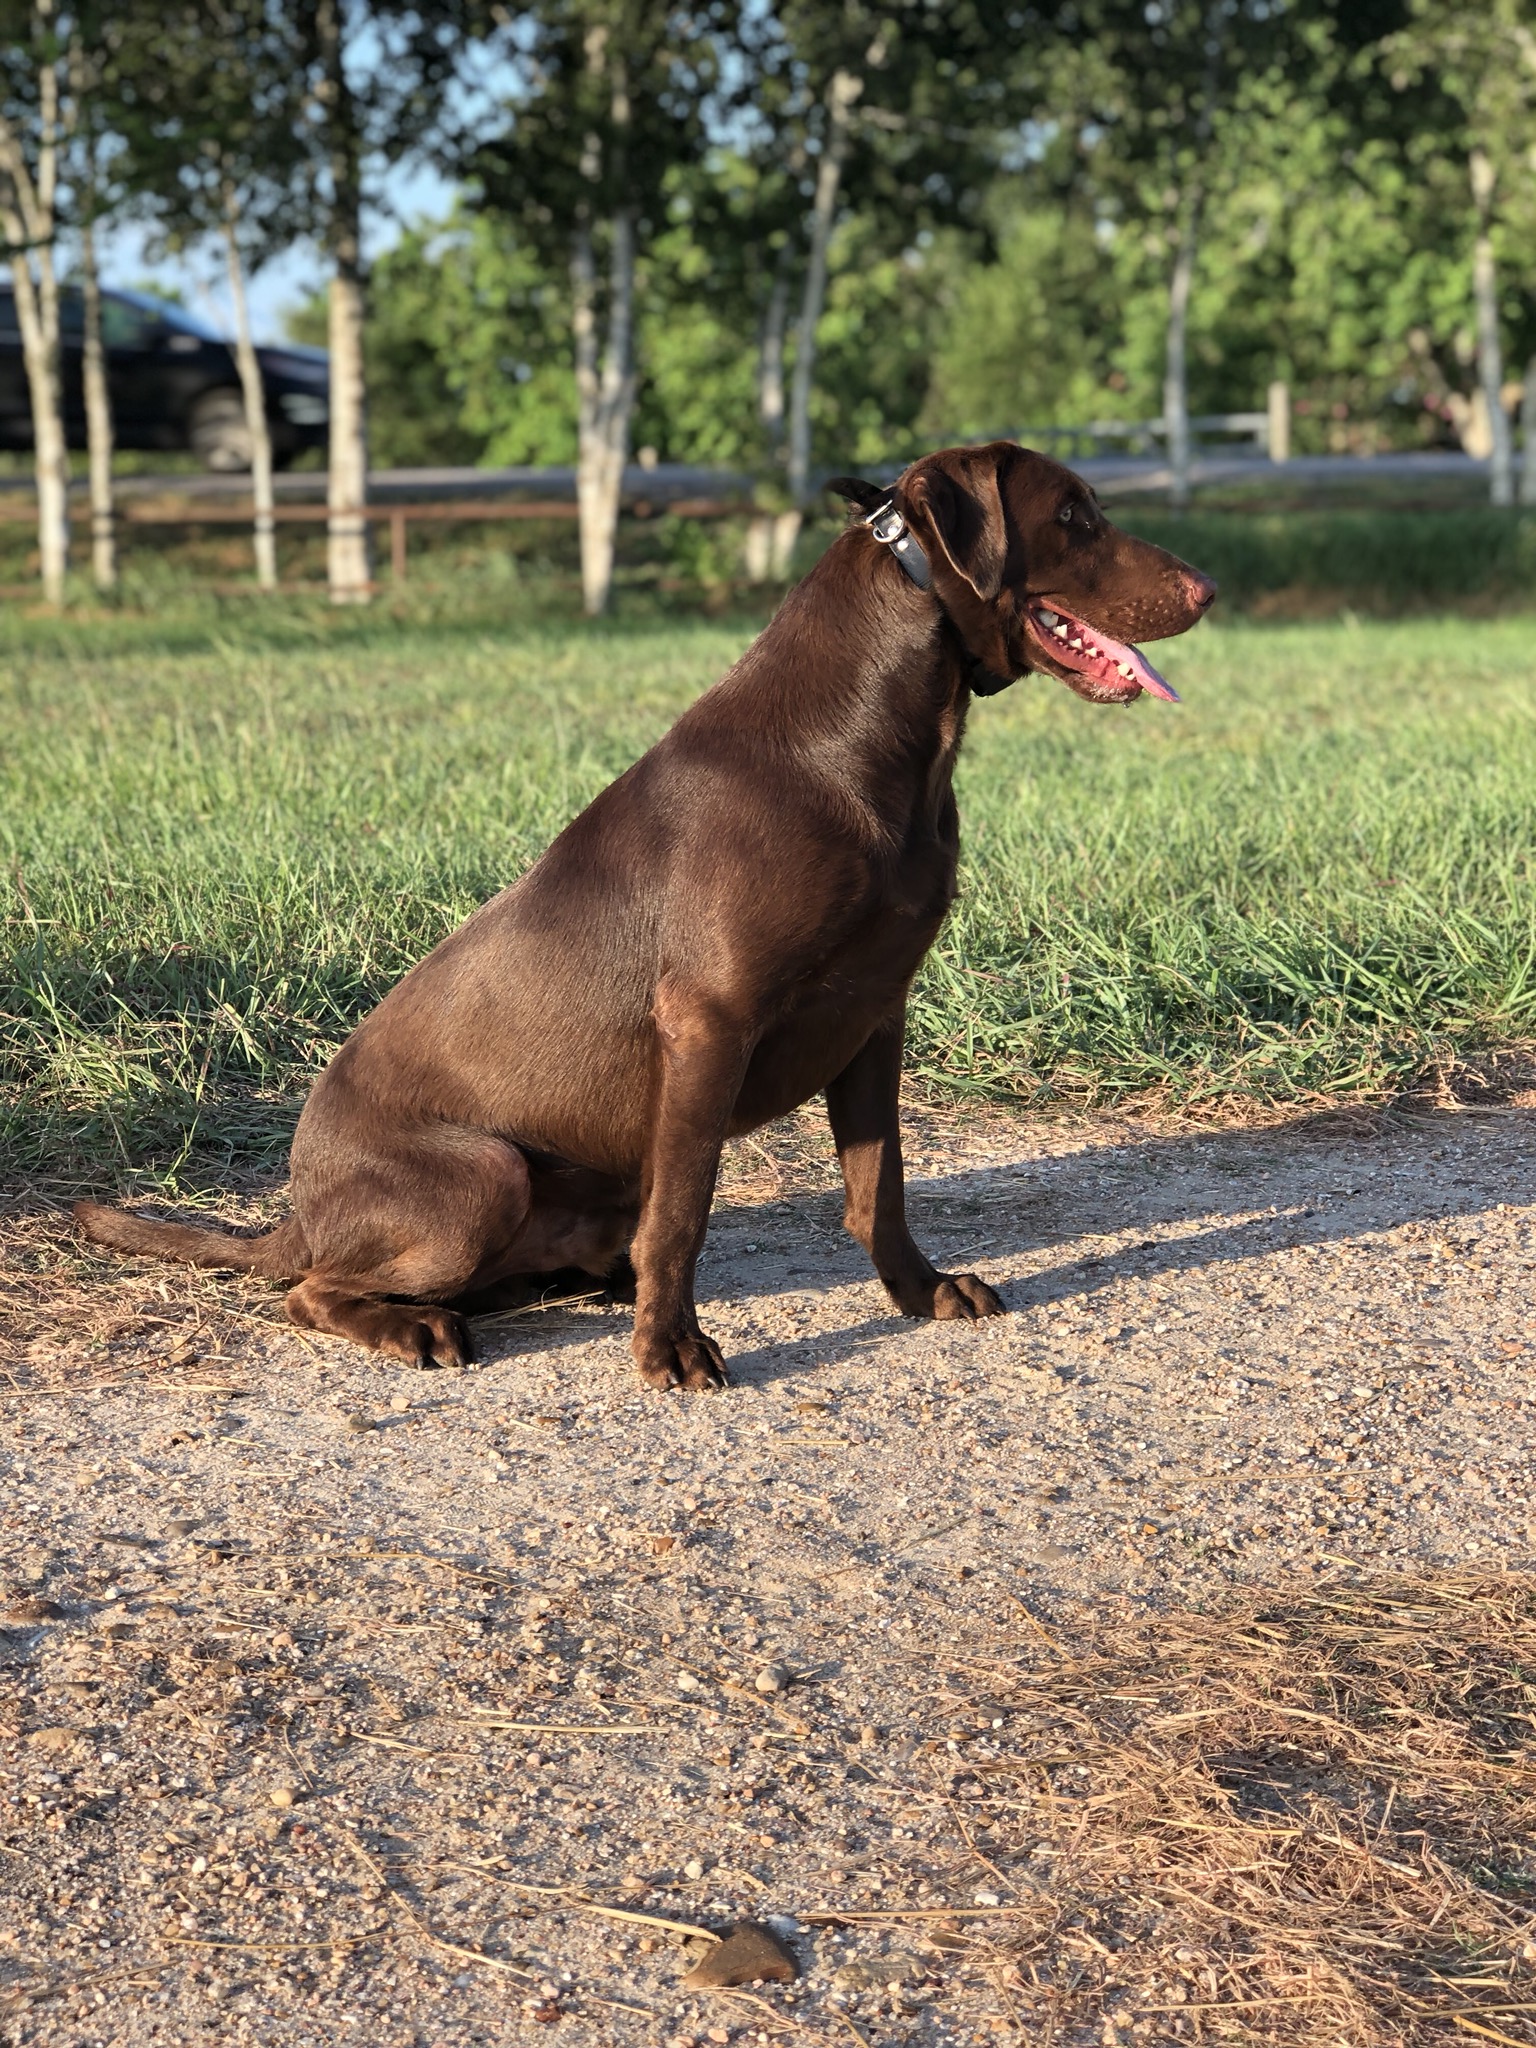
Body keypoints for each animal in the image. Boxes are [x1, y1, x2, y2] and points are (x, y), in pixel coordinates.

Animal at [81, 438, 1212, 1384]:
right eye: (1075, 515)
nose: (1206, 588)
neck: (875, 740)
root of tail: (297, 1209)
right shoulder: (709, 1021)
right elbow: (687, 1216)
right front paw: (670, 1347)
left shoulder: (874, 1014)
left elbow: (877, 1184)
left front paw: (920, 1292)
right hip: (483, 1171)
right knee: (313, 1290)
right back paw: (418, 1325)